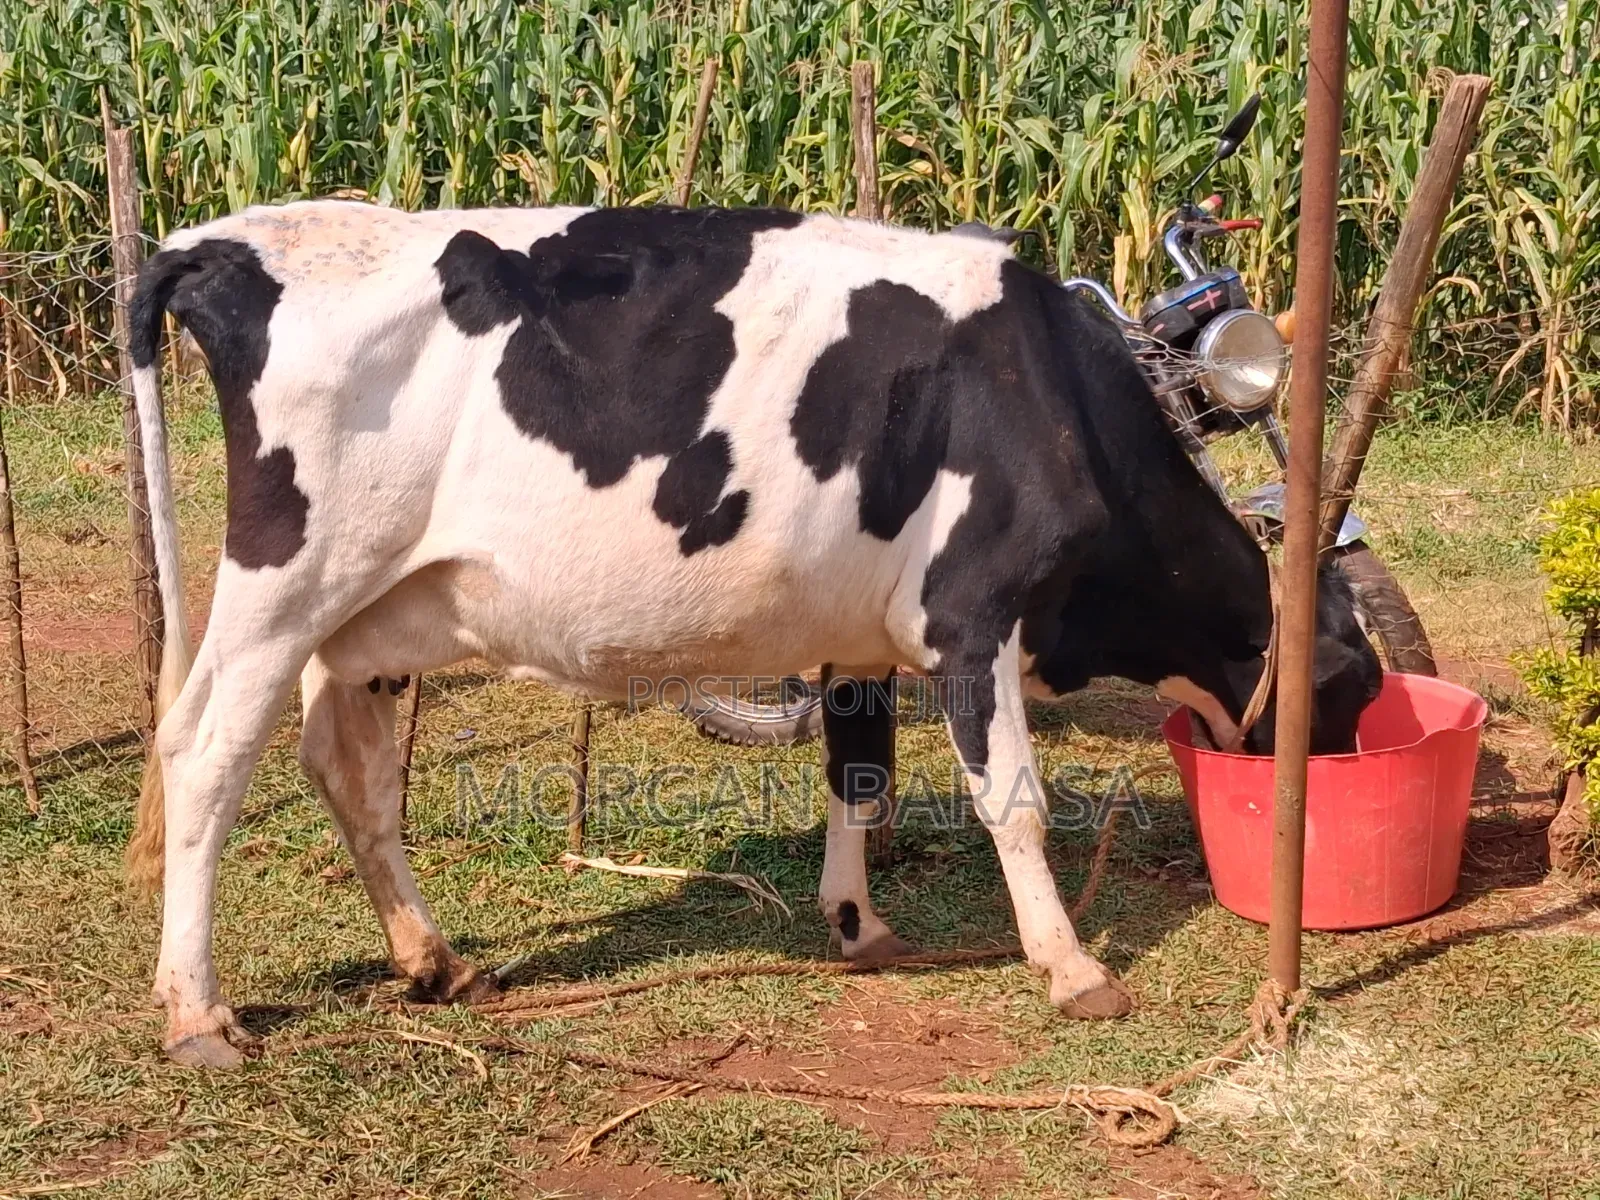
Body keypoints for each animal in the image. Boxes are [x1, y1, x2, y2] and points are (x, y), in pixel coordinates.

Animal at [122, 202, 1380, 1068]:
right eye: (1354, 684)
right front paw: (1072, 970)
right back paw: (197, 1012)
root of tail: (227, 239)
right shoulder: (971, 611)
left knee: (348, 767)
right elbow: (1010, 799)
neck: (1049, 393)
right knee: (201, 749)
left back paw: (432, 959)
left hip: (368, 614)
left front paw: (857, 924)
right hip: (283, 583)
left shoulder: (868, 633)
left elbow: (857, 772)